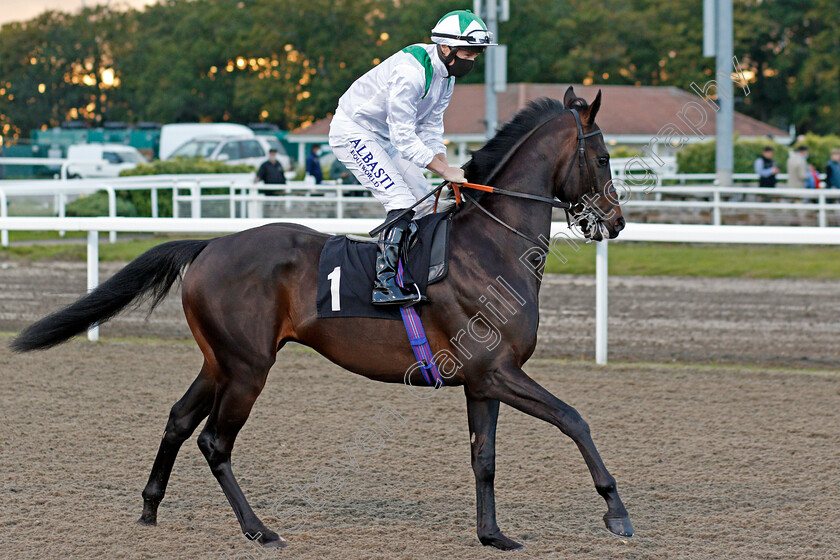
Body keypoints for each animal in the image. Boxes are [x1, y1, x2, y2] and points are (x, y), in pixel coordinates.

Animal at [13, 88, 632, 552]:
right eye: (604, 158)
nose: (616, 222)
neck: (490, 247)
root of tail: (210, 244)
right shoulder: (498, 371)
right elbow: (575, 420)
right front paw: (616, 512)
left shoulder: (482, 381)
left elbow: (485, 459)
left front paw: (493, 534)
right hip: (248, 368)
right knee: (214, 441)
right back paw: (259, 529)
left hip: (221, 361)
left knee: (178, 420)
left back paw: (149, 509)